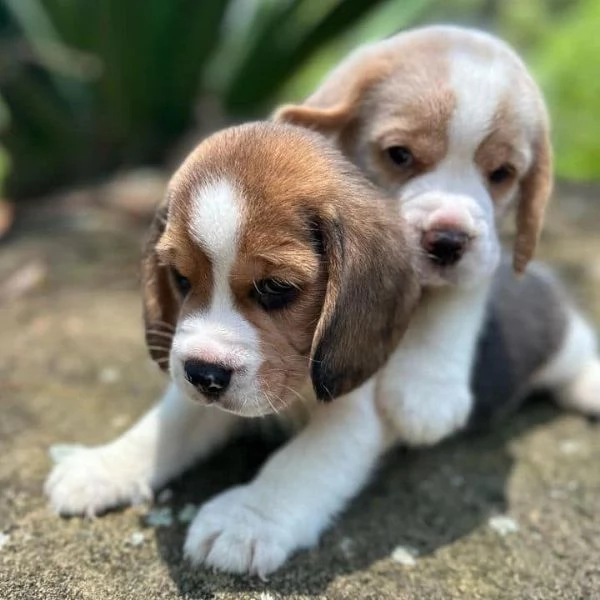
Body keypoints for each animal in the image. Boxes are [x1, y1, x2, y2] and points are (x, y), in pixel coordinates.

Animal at [276, 24, 600, 446]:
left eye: (501, 174)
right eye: (399, 154)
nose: (448, 241)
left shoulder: (482, 258)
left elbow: (452, 303)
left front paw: (427, 392)